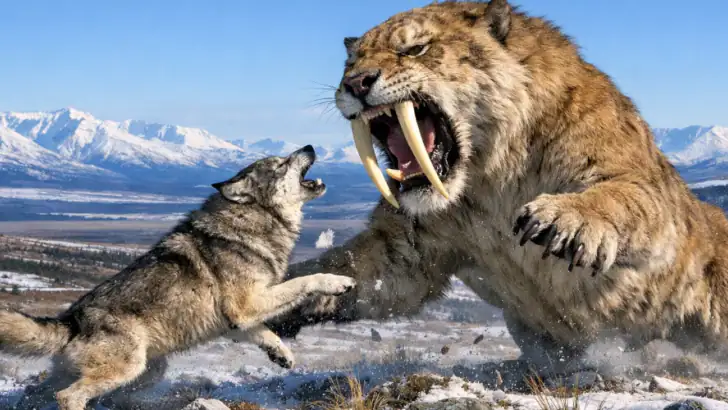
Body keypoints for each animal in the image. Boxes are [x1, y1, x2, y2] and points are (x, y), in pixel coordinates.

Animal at [0, 145, 356, 410]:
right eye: (281, 164)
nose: (309, 146)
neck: (252, 221)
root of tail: (71, 320)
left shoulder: (236, 319)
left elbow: (263, 332)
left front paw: (281, 354)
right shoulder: (247, 304)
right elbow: (304, 280)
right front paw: (337, 282)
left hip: (146, 371)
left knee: (41, 393)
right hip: (127, 368)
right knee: (68, 396)